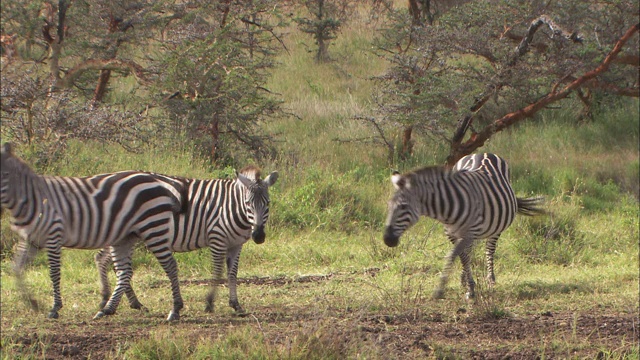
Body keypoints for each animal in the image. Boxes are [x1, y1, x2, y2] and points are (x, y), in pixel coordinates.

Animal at [1, 142, 188, 320]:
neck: (30, 197)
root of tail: (158, 181)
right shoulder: (30, 240)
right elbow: (16, 269)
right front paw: (33, 303)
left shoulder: (54, 235)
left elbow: (54, 273)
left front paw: (55, 307)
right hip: (127, 236)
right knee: (125, 271)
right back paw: (109, 309)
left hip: (153, 227)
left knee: (170, 266)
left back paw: (175, 309)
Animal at [94, 166, 278, 316]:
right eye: (248, 203)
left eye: (268, 203)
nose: (259, 236)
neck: (232, 206)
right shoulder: (217, 238)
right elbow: (217, 271)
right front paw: (209, 303)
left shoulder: (236, 244)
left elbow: (232, 274)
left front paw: (236, 305)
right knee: (110, 262)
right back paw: (118, 301)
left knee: (104, 259)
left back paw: (119, 300)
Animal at [382, 153, 544, 300]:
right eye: (388, 205)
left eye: (403, 206)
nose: (387, 240)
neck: (446, 208)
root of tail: (484, 153)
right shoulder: (453, 234)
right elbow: (462, 256)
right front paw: (467, 283)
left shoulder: (468, 233)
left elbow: (453, 256)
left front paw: (450, 290)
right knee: (470, 251)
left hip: (496, 226)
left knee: (489, 249)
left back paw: (490, 278)